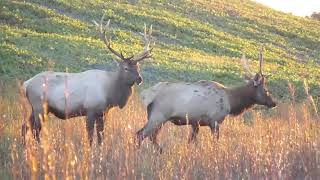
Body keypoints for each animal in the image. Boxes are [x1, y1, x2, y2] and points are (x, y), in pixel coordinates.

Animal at [21, 14, 154, 146]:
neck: (110, 93)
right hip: (39, 106)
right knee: (35, 129)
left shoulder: (103, 112)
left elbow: (101, 135)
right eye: (126, 68)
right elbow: (90, 135)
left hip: (37, 108)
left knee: (25, 126)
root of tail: (26, 84)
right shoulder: (90, 109)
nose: (139, 79)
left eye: (138, 67)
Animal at [136, 50, 276, 152]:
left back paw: (160, 150)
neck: (231, 101)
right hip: (158, 116)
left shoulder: (195, 123)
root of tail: (145, 95)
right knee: (140, 134)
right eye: (266, 90)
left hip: (158, 118)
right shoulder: (214, 121)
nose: (273, 103)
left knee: (151, 136)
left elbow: (190, 141)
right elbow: (215, 142)